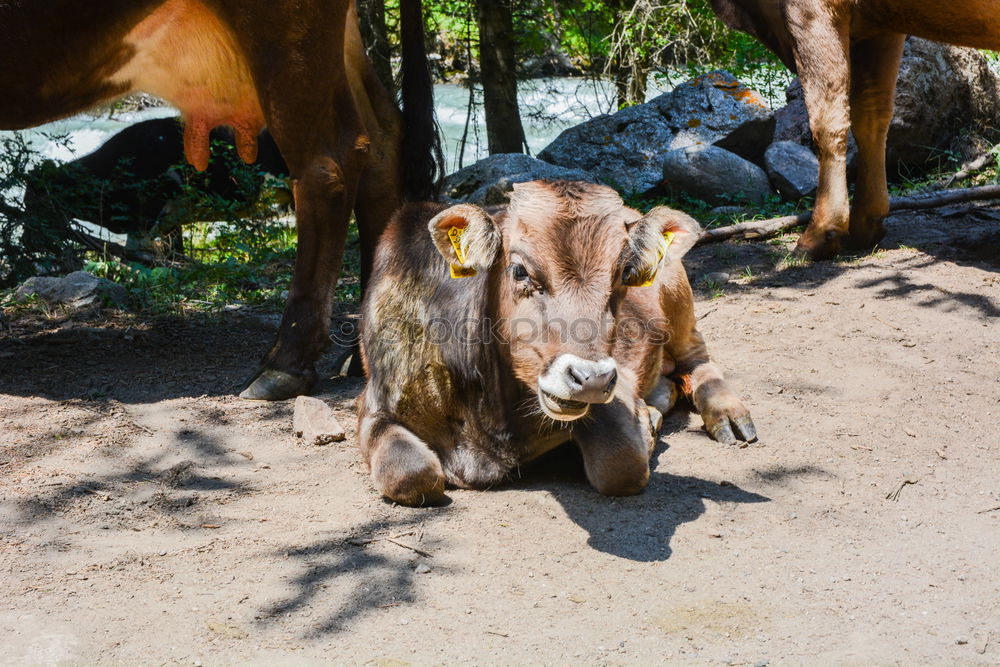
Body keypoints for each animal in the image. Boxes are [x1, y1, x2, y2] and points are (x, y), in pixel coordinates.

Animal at [0, 0, 438, 400]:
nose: (32, 241)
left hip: (286, 38)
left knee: (329, 163)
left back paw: (284, 366)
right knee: (382, 143)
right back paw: (363, 356)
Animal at [356, 180, 752, 504]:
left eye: (624, 273)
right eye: (519, 271)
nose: (591, 378)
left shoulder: (616, 387)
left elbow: (621, 462)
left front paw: (647, 427)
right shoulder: (373, 406)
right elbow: (410, 474)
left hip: (679, 299)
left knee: (699, 360)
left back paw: (728, 415)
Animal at [712, 0, 1000, 260]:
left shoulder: (812, 13)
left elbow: (827, 120)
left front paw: (819, 235)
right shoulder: (880, 29)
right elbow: (871, 117)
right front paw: (866, 225)